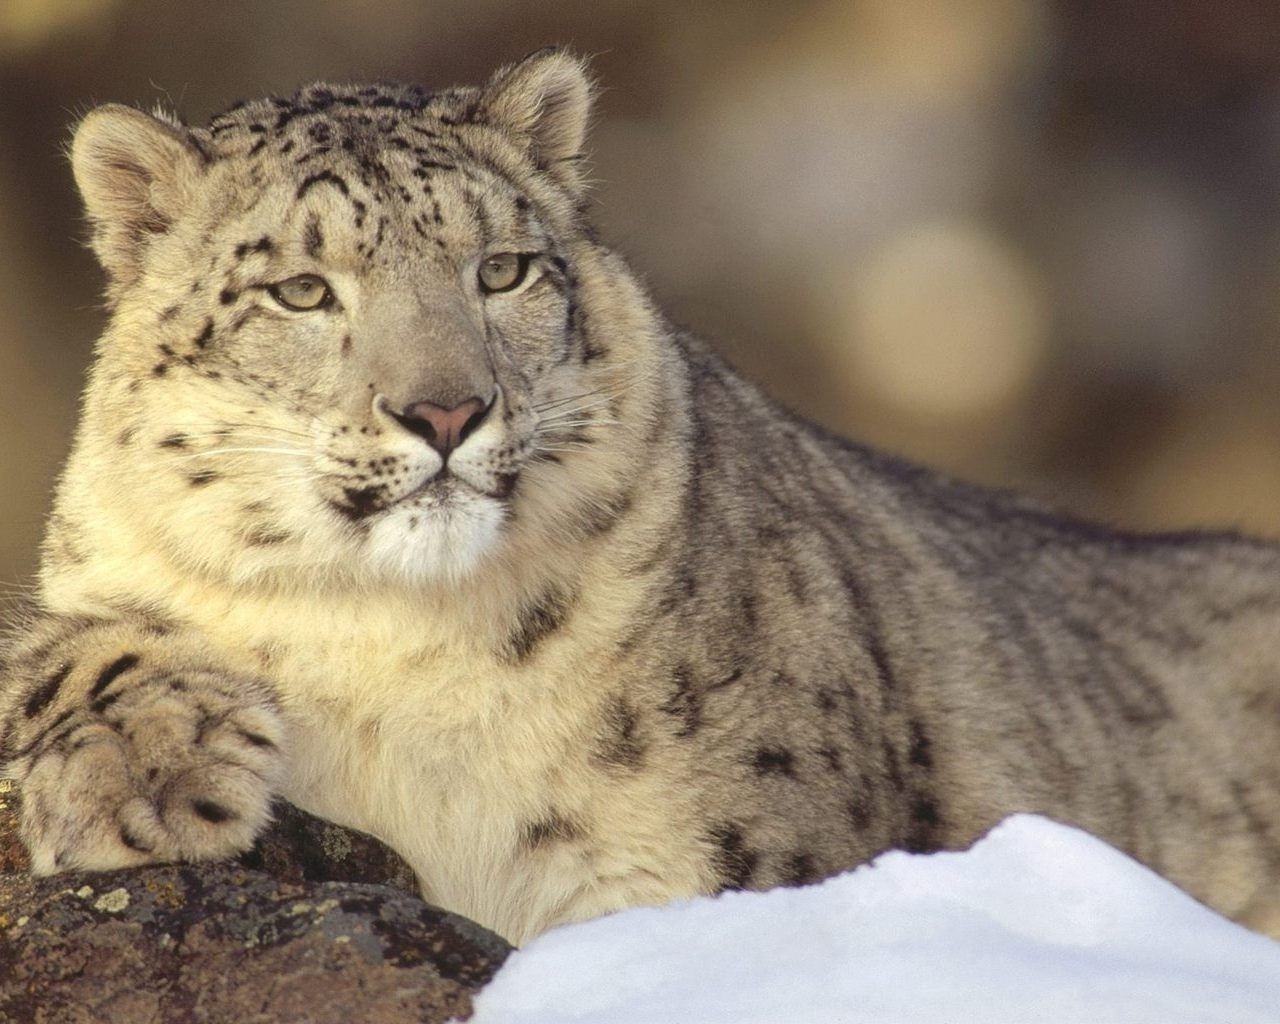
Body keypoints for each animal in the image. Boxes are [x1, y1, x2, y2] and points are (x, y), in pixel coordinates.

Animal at [2, 49, 1280, 942]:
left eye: (501, 269)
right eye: (302, 290)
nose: (446, 411)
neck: (390, 646)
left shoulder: (708, 868)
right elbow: (54, 650)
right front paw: (152, 775)